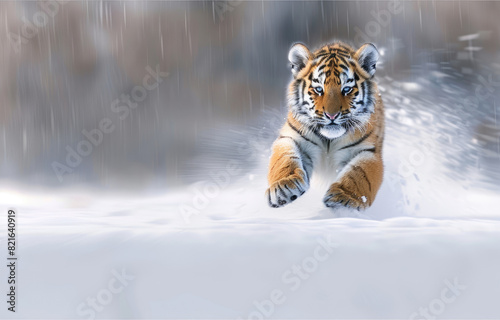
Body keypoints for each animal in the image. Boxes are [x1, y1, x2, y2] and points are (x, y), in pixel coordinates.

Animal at [268, 41, 384, 211]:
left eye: (346, 89)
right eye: (318, 89)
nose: (332, 116)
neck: (329, 140)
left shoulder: (368, 151)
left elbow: (359, 173)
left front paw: (344, 199)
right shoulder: (290, 137)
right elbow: (283, 159)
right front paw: (283, 187)